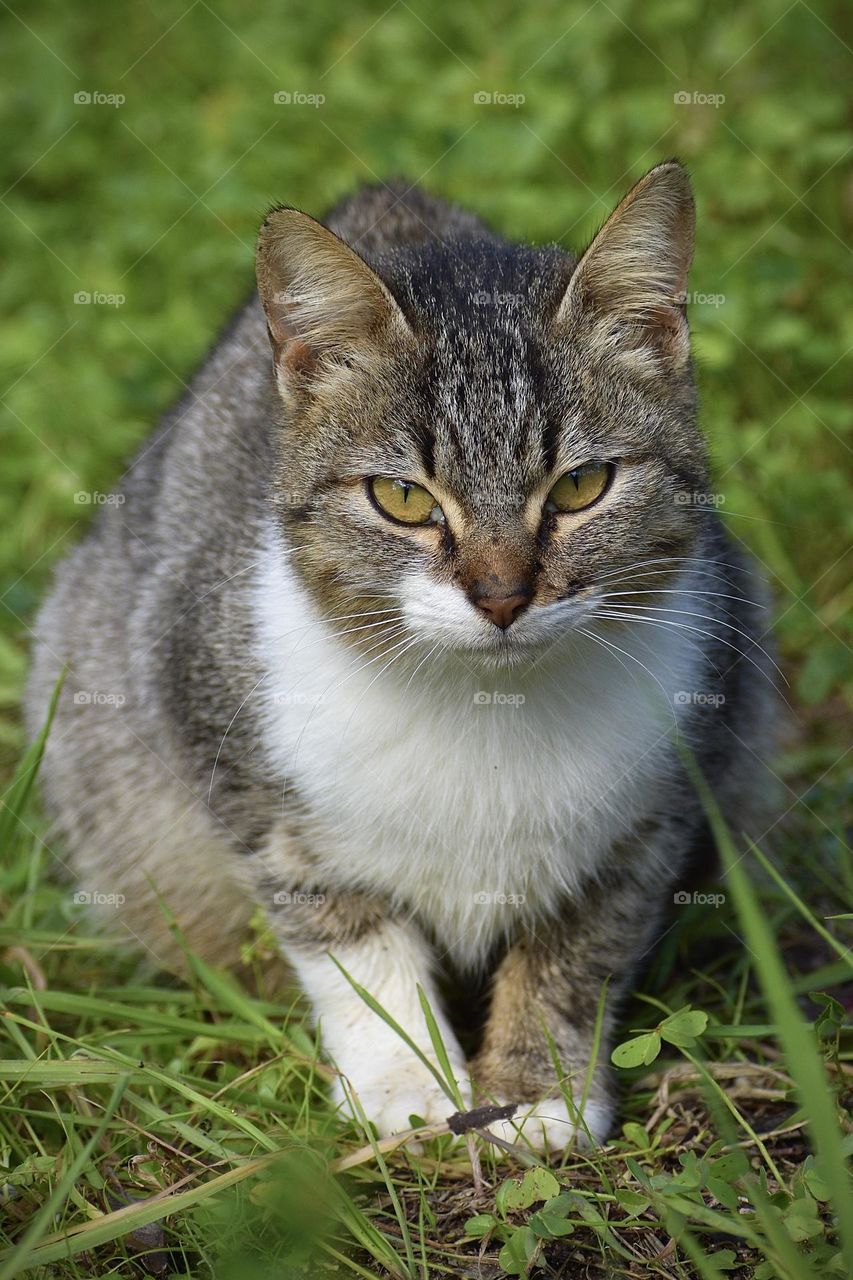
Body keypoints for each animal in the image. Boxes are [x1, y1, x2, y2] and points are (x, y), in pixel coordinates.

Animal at [26, 162, 773, 1152]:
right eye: (403, 499)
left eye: (580, 486)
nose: (501, 595)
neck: (486, 709)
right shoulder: (235, 756)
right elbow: (348, 937)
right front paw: (406, 1078)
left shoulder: (660, 799)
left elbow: (578, 948)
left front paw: (535, 1089)